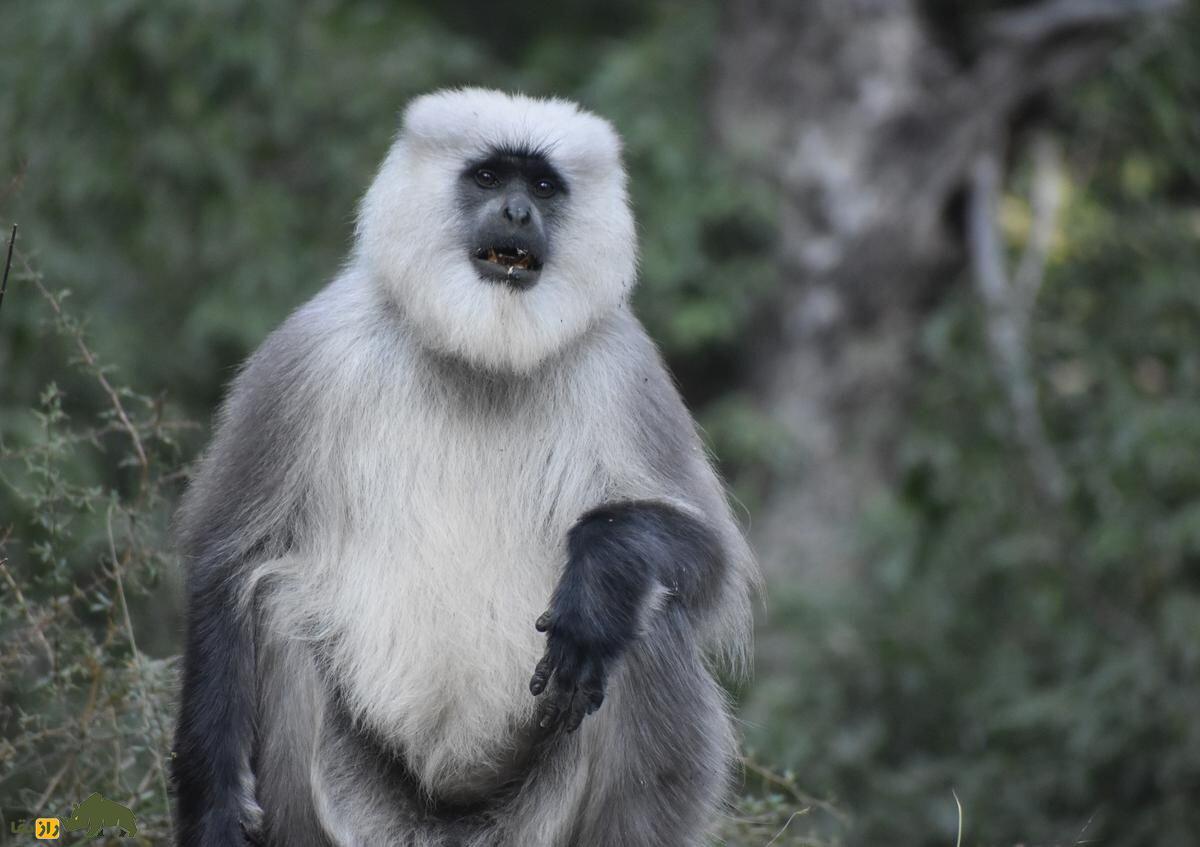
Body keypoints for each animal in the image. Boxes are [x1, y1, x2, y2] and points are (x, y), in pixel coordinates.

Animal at [174, 87, 753, 844]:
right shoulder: (313, 351)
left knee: (650, 617)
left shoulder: (623, 366)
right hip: (350, 811)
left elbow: (713, 568)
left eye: (542, 186)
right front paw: (214, 811)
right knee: (272, 602)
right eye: (487, 177)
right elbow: (226, 561)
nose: (517, 214)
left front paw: (600, 572)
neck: (481, 357)